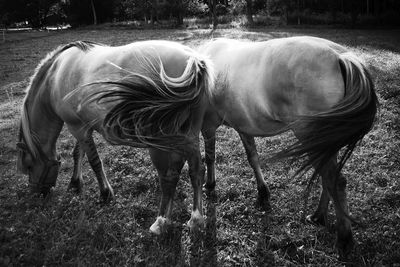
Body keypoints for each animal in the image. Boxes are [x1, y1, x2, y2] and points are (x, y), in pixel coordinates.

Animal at [15, 39, 214, 234]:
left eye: (29, 166)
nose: (36, 193)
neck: (55, 75)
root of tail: (194, 61)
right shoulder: (82, 126)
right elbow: (78, 154)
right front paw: (75, 183)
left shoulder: (76, 127)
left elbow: (94, 161)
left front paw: (105, 193)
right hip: (187, 136)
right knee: (195, 169)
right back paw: (193, 219)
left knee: (172, 175)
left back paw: (168, 221)